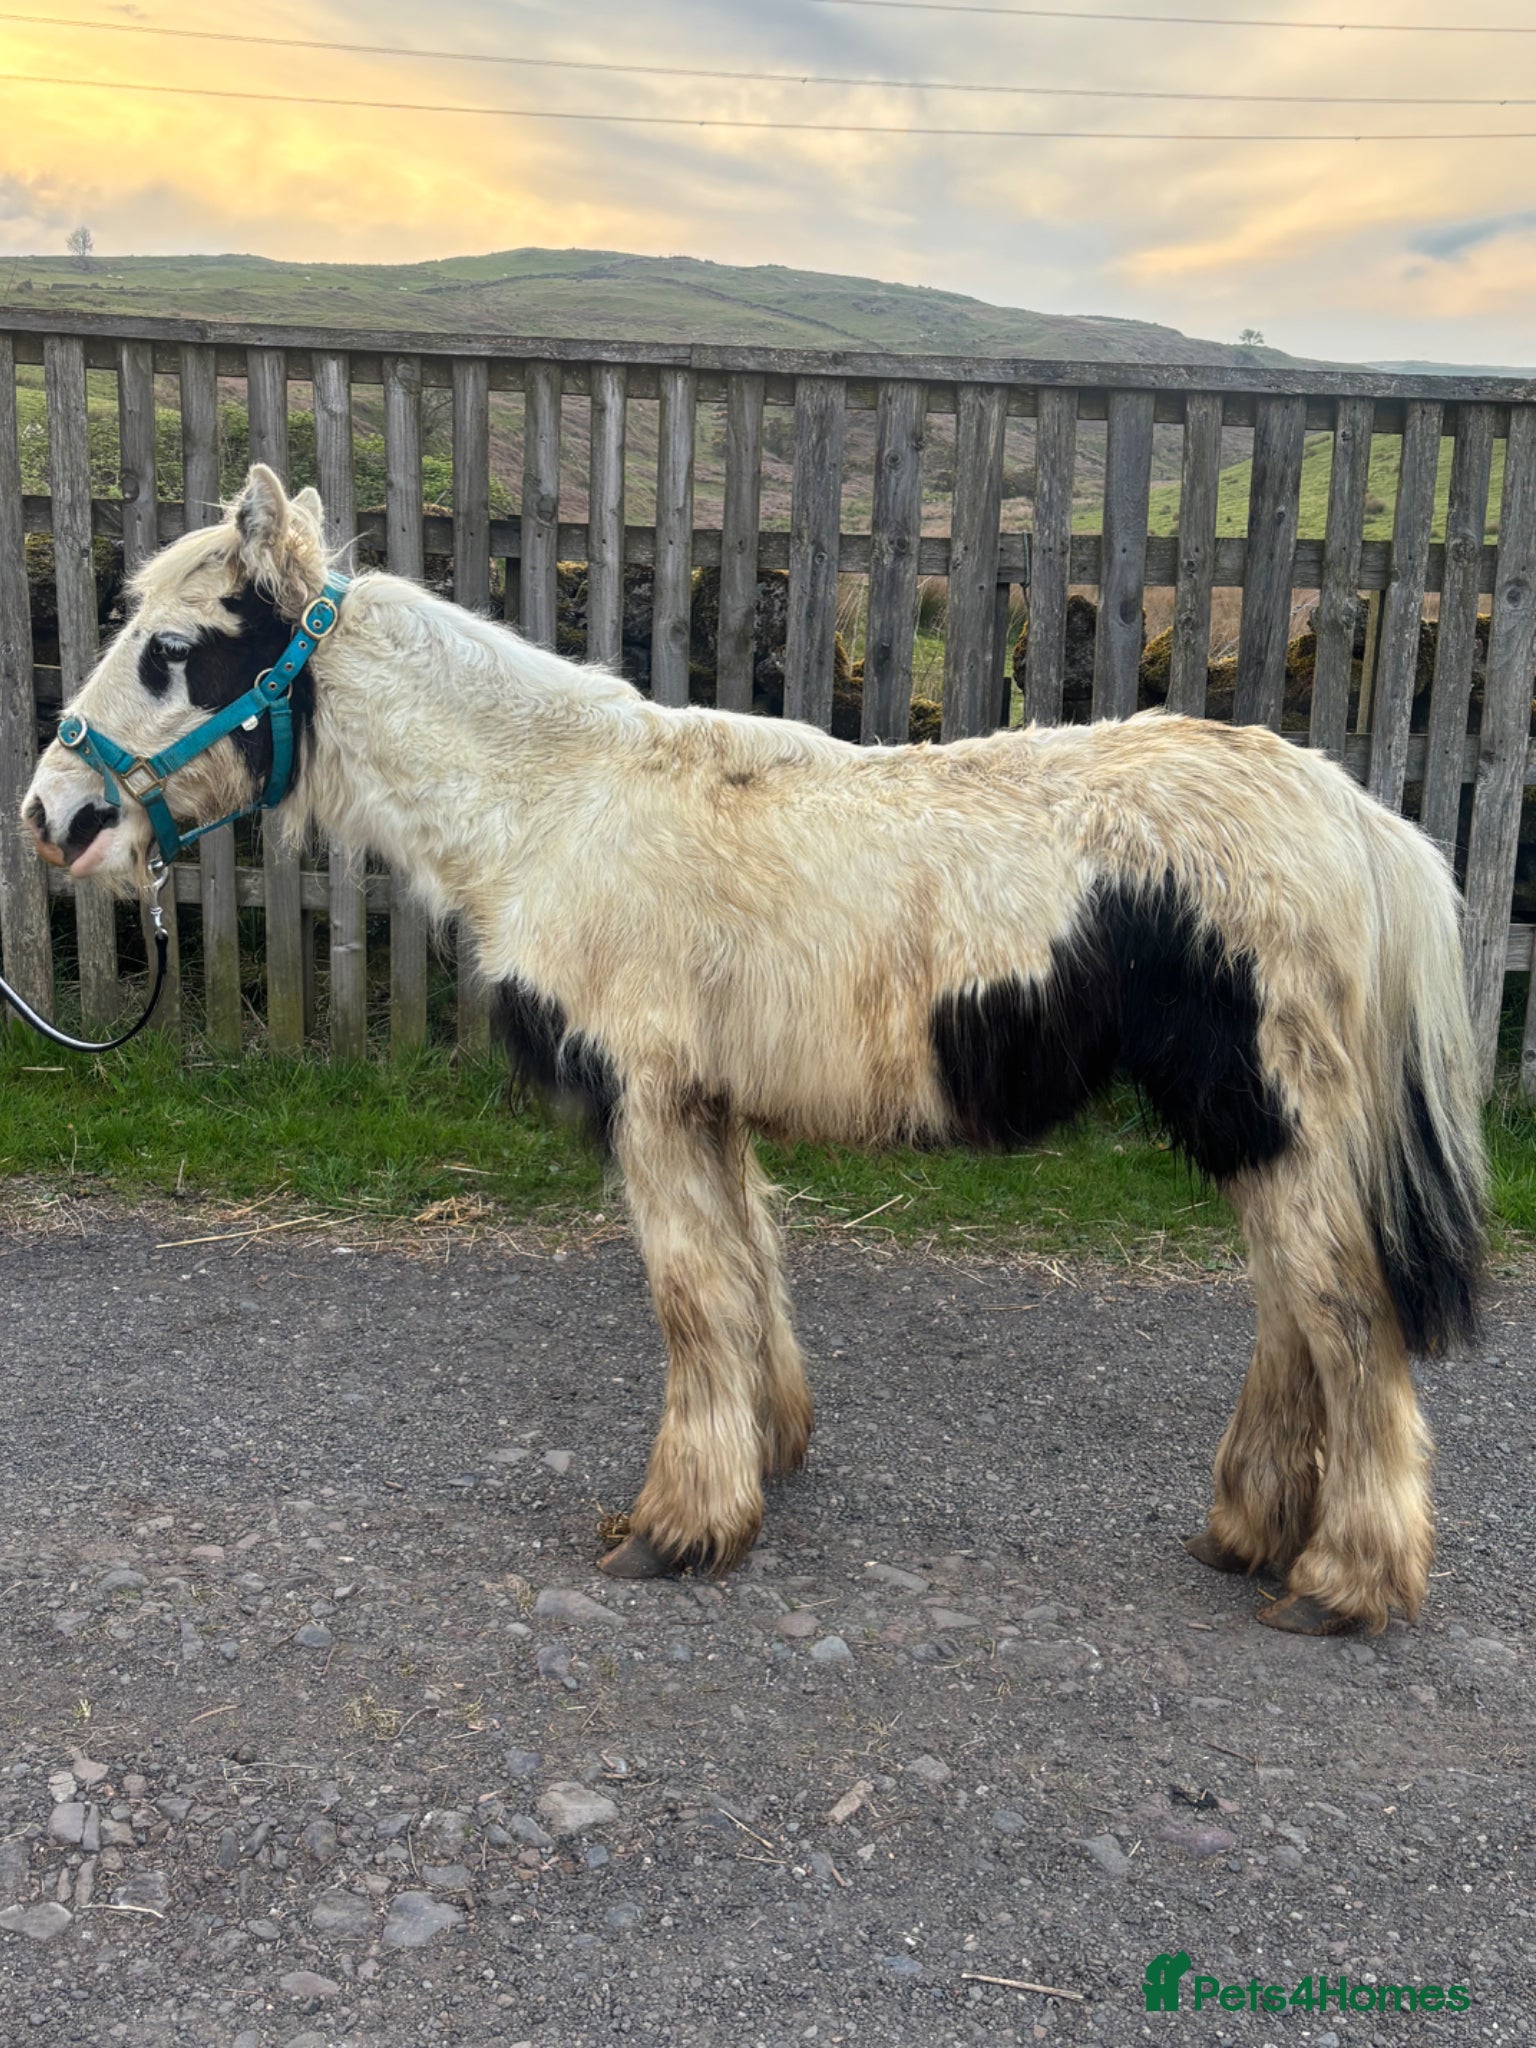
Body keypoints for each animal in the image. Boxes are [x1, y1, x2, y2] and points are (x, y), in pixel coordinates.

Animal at [21, 464, 1486, 1636]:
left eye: (170, 649)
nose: (55, 813)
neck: (552, 809)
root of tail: (1354, 812)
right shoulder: (702, 1106)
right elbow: (744, 1277)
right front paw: (764, 1454)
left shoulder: (651, 1099)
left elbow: (689, 1298)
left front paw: (679, 1527)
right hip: (1255, 1124)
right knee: (1295, 1313)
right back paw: (1254, 1530)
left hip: (1263, 1113)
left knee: (1346, 1315)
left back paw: (1345, 1580)